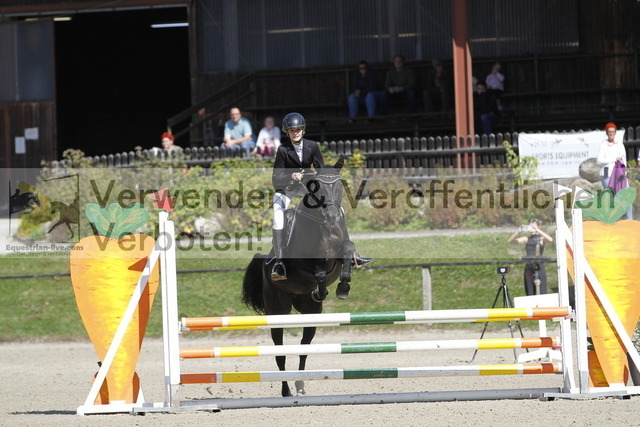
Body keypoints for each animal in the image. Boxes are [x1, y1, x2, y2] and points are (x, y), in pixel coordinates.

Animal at [242, 161, 356, 397]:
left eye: (339, 186)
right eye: (317, 188)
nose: (333, 217)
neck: (321, 224)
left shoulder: (340, 251)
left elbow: (348, 249)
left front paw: (343, 287)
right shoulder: (303, 263)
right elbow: (319, 273)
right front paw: (321, 290)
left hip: (310, 312)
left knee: (304, 346)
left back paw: (300, 385)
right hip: (277, 311)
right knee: (280, 353)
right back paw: (286, 390)